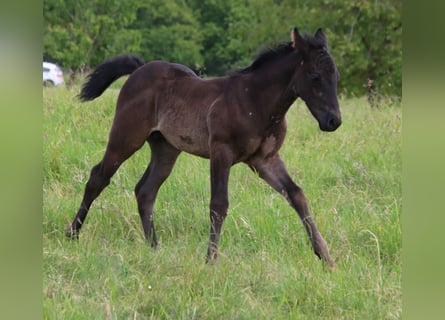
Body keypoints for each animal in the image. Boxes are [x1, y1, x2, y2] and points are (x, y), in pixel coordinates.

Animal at [67, 27, 342, 268]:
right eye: (315, 77)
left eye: (336, 77)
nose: (334, 121)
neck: (255, 101)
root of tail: (138, 70)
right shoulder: (221, 151)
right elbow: (218, 205)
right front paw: (210, 260)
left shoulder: (265, 159)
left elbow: (297, 195)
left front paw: (325, 257)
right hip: (126, 137)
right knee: (98, 177)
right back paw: (72, 234)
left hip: (166, 149)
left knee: (145, 191)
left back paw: (154, 247)